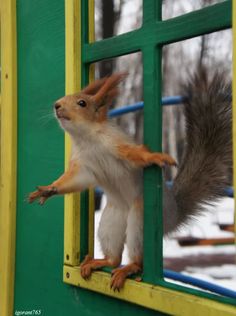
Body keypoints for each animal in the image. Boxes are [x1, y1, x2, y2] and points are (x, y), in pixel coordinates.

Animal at [28, 69, 232, 292]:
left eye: (82, 103)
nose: (57, 105)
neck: (86, 139)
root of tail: (173, 215)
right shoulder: (82, 166)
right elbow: (71, 182)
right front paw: (48, 189)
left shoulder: (117, 145)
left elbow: (137, 155)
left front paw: (157, 157)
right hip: (110, 223)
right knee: (114, 258)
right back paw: (100, 262)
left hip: (140, 220)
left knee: (137, 258)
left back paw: (128, 268)